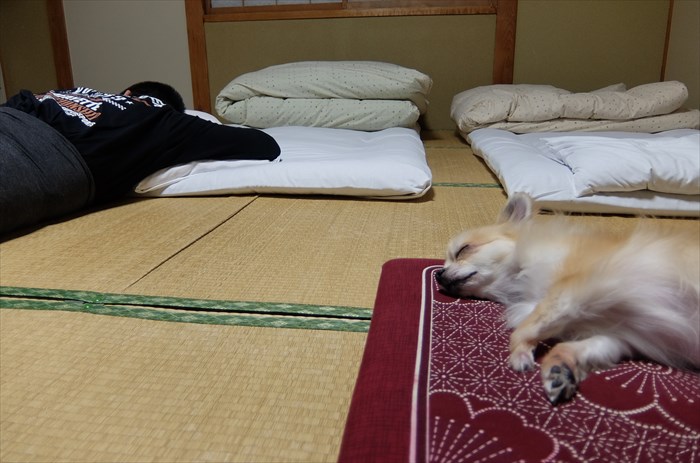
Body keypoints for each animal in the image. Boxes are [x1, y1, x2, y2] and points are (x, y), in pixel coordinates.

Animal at [436, 193, 700, 404]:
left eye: (463, 250)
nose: (437, 274)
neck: (518, 282)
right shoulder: (620, 333)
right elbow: (578, 346)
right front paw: (559, 368)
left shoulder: (576, 288)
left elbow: (524, 327)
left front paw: (519, 353)